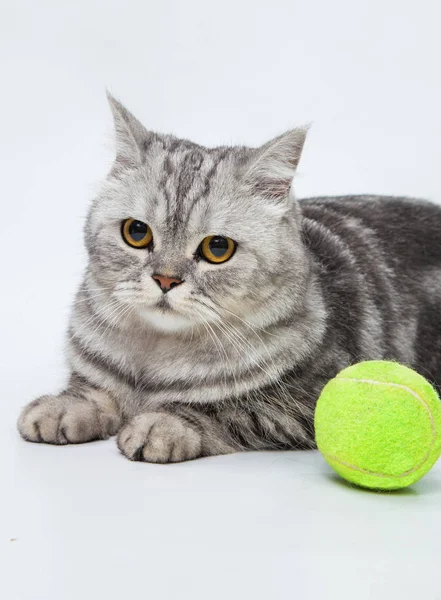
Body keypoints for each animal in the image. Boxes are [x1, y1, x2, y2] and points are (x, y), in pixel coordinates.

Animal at [17, 94, 441, 462]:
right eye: (136, 232)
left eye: (217, 248)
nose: (165, 280)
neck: (152, 361)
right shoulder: (96, 372)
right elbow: (93, 391)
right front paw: (61, 407)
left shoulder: (305, 399)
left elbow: (226, 410)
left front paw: (163, 425)